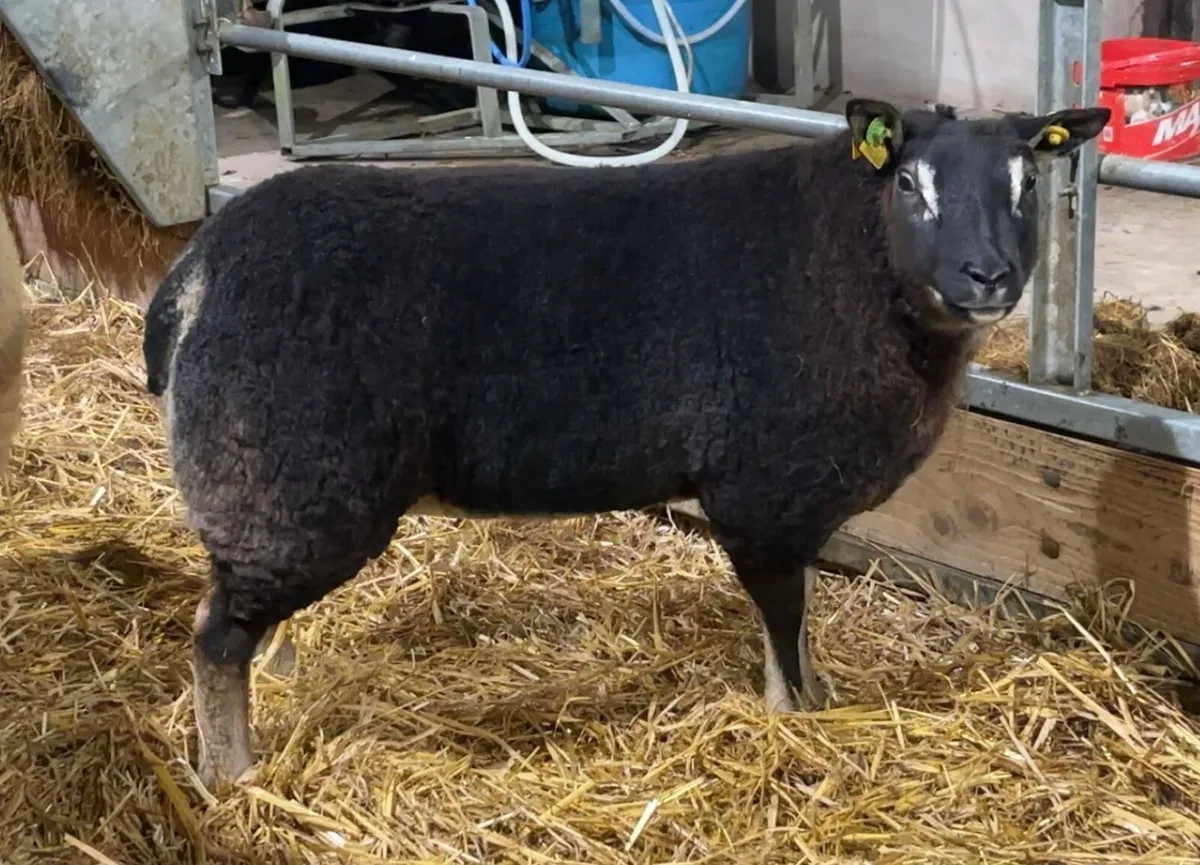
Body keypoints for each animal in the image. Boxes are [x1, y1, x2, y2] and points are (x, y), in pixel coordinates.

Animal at [142, 97, 1111, 789]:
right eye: (910, 185)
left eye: (1030, 185)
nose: (988, 275)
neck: (854, 259)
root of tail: (195, 275)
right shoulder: (763, 493)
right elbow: (783, 622)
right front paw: (797, 717)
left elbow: (797, 623)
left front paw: (818, 696)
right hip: (284, 487)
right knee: (214, 639)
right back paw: (231, 775)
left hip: (271, 496)